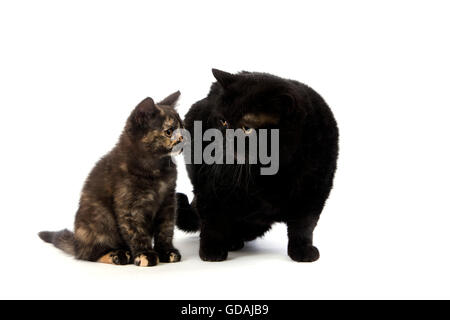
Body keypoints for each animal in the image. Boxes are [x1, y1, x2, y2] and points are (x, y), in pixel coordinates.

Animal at [38, 91, 183, 266]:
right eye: (169, 131)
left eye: (183, 127)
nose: (184, 139)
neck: (156, 168)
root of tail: (77, 243)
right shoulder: (129, 206)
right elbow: (136, 232)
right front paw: (145, 254)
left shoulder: (168, 201)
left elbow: (165, 229)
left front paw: (166, 251)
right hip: (101, 218)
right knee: (89, 254)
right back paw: (118, 254)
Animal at [178, 69, 340, 262]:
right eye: (223, 122)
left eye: (247, 129)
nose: (224, 140)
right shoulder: (210, 185)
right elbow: (212, 220)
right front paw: (212, 251)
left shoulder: (315, 191)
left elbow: (304, 226)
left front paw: (302, 251)